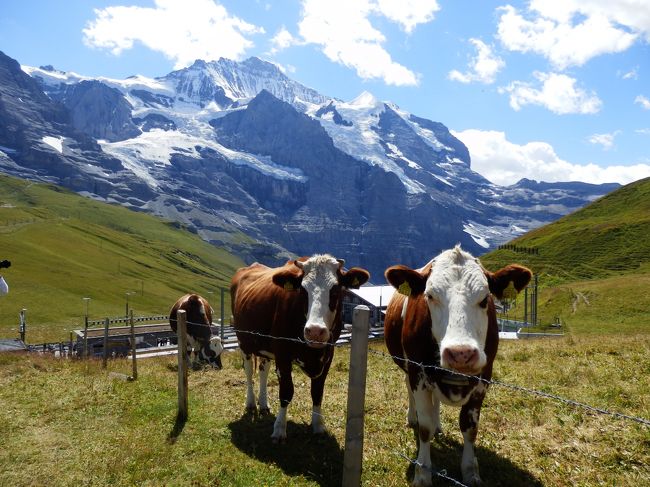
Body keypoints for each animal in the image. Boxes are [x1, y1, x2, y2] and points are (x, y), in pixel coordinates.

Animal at [230, 255, 368, 442]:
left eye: (336, 290)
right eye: (302, 291)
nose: (315, 331)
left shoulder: (328, 355)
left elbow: (317, 392)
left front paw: (318, 426)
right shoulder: (282, 354)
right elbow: (286, 391)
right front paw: (279, 429)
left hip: (265, 347)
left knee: (263, 371)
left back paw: (264, 404)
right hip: (244, 342)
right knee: (249, 371)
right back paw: (251, 403)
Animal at [382, 248, 528, 487]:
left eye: (485, 298)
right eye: (430, 296)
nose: (461, 353)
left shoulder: (483, 379)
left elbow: (469, 428)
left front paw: (470, 471)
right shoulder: (418, 372)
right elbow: (424, 427)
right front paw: (422, 473)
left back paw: (439, 425)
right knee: (410, 391)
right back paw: (412, 417)